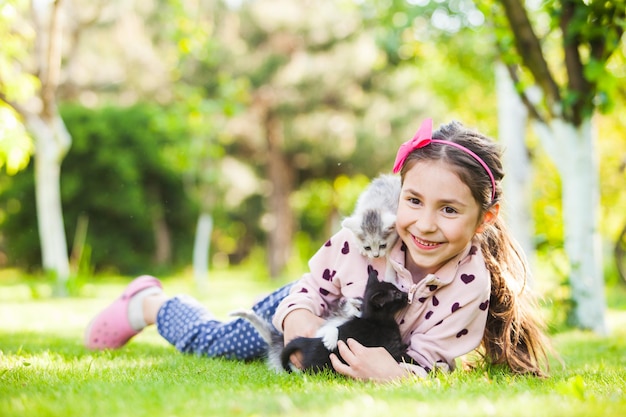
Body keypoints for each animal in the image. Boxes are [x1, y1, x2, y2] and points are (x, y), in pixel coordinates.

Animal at [280, 268, 412, 372]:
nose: (407, 295)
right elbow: (405, 357)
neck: (376, 321)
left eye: (398, 289)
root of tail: (309, 342)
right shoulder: (391, 348)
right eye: (397, 294)